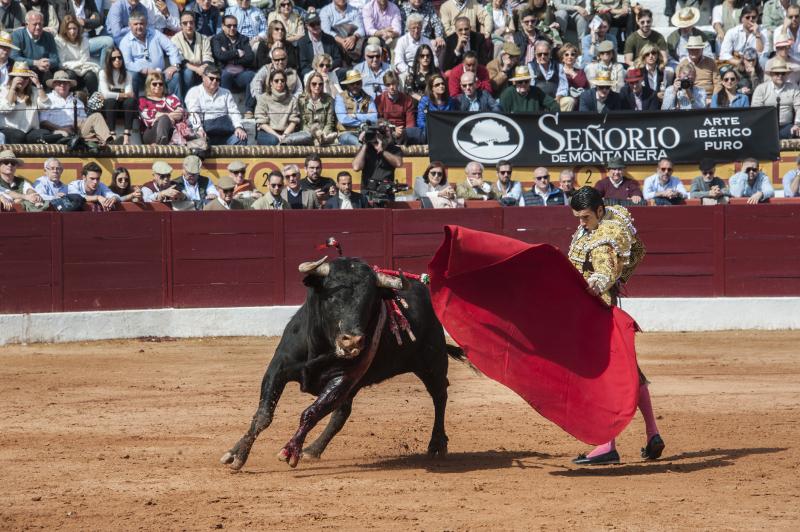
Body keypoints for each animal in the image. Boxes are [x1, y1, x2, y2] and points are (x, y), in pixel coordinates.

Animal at [222, 258, 466, 470]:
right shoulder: (278, 369)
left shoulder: (342, 379)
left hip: (431, 364)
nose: (353, 340)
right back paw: (314, 449)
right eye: (332, 297)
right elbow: (263, 414)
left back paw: (437, 445)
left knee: (439, 395)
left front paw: (290, 451)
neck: (320, 346)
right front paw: (237, 455)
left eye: (369, 301)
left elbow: (310, 413)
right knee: (342, 413)